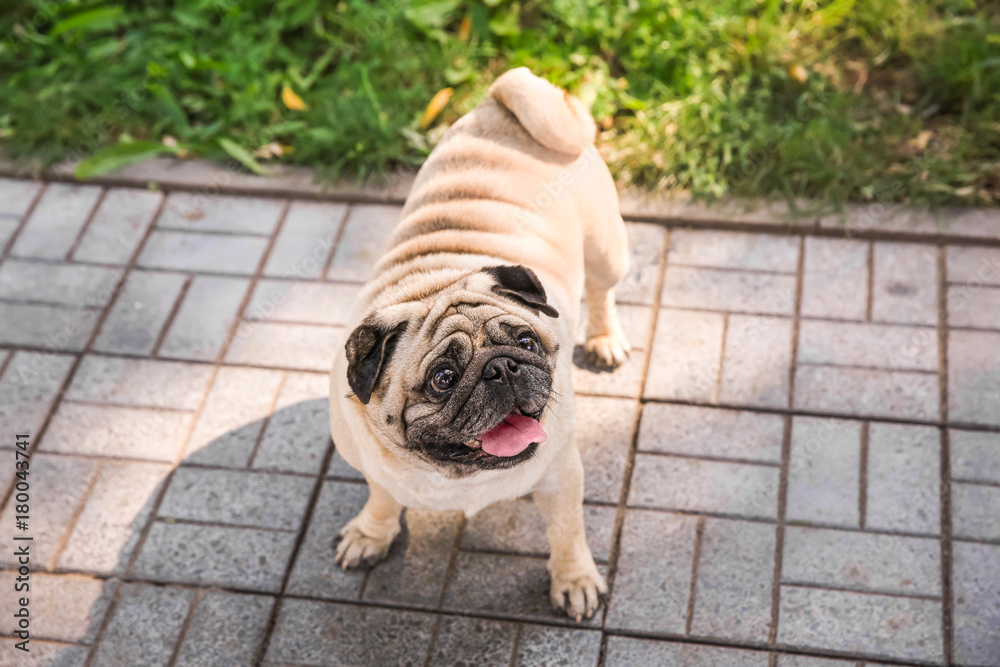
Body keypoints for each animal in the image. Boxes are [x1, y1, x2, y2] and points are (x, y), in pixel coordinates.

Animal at [332, 68, 628, 620]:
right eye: (443, 379)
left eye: (527, 341)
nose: (502, 368)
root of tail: (501, 96)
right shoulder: (376, 472)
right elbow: (382, 500)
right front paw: (370, 535)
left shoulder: (562, 478)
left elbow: (567, 533)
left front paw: (574, 580)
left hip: (606, 249)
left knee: (602, 290)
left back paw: (604, 338)